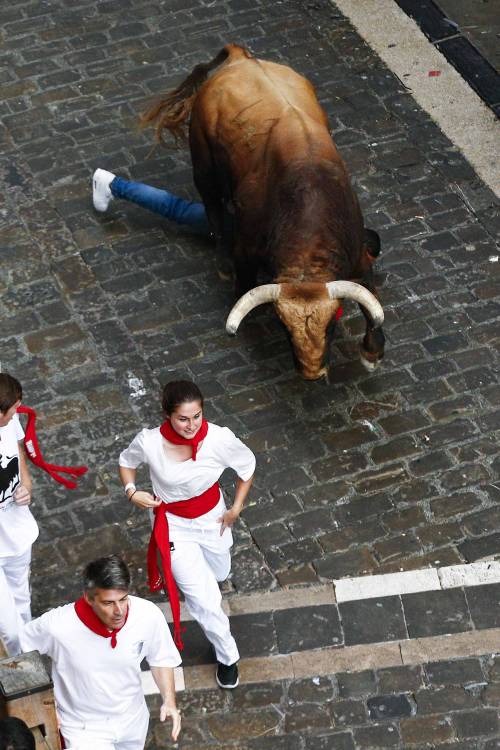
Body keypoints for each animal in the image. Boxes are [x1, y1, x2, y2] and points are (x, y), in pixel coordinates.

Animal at [143, 44, 384, 378]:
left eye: (333, 321)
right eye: (284, 328)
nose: (312, 372)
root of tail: (241, 58)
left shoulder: (358, 256)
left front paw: (372, 353)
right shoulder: (246, 250)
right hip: (203, 166)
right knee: (213, 210)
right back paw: (222, 261)